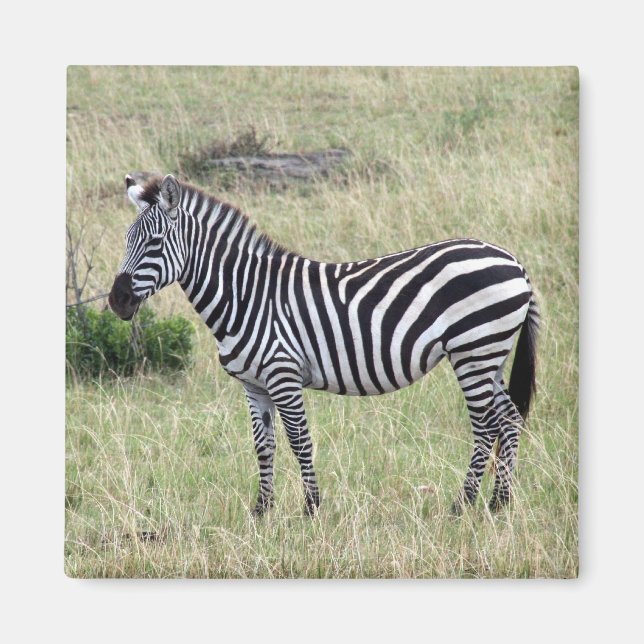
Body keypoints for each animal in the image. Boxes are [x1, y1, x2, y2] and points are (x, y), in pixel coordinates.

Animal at [109, 174, 539, 516]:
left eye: (155, 243)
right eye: (126, 241)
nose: (117, 301)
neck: (246, 295)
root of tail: (514, 262)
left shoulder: (283, 374)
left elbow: (300, 442)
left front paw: (311, 508)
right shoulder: (254, 385)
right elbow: (263, 446)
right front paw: (261, 511)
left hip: (473, 351)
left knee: (485, 425)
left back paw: (461, 505)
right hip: (491, 354)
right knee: (509, 419)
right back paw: (499, 503)